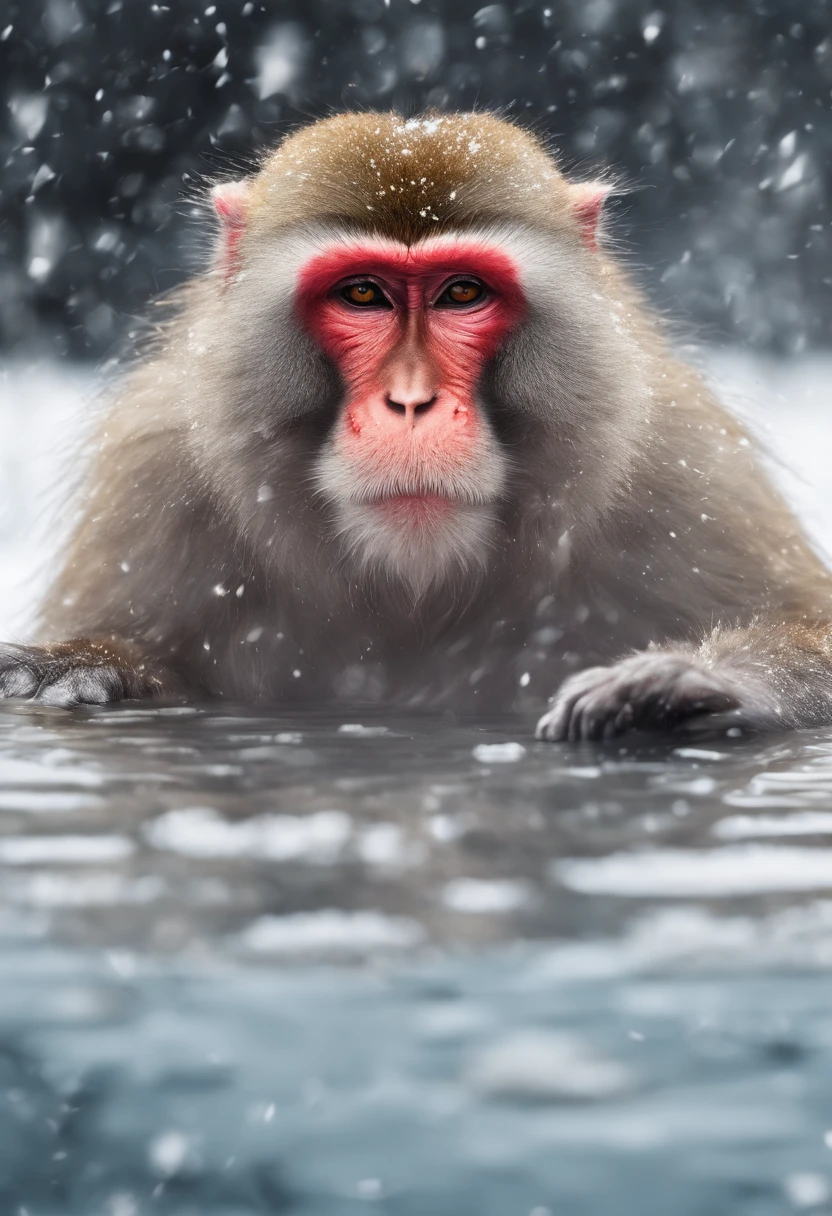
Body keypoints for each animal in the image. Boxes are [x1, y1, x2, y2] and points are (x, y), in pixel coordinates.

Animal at [4, 111, 832, 739]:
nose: (410, 402)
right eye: (362, 294)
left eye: (461, 292)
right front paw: (83, 665)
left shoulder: (682, 466)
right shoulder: (155, 474)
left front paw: (690, 683)